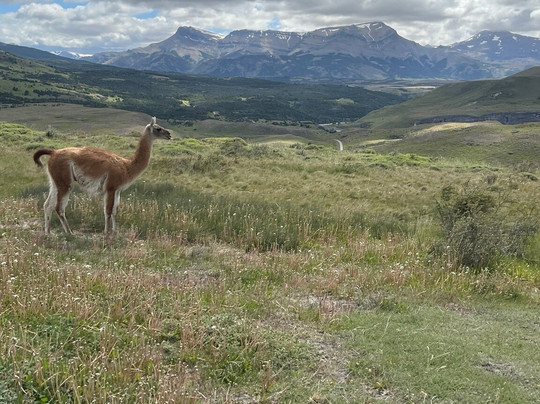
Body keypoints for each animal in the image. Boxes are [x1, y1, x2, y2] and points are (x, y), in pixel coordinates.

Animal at [33, 117, 171, 234]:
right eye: (158, 128)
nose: (169, 134)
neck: (127, 166)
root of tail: (54, 152)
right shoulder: (110, 187)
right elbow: (108, 211)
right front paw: (107, 233)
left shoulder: (117, 190)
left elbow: (116, 211)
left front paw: (115, 232)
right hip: (65, 181)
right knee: (59, 207)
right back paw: (69, 233)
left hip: (55, 181)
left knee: (47, 205)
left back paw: (48, 232)